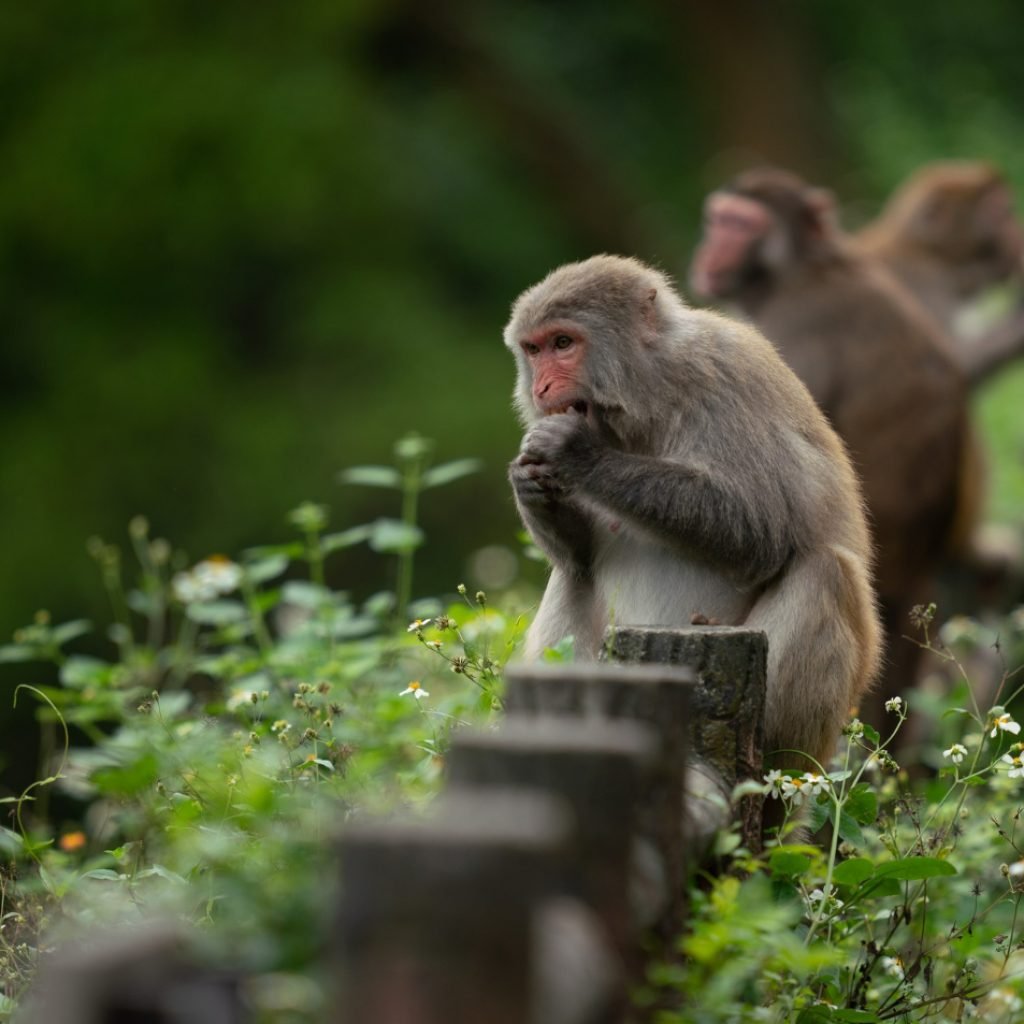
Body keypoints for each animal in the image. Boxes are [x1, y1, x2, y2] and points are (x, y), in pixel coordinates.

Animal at [503, 256, 880, 770]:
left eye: (563, 343)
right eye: (533, 349)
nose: (541, 386)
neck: (647, 394)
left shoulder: (723, 376)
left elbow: (759, 530)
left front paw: (578, 453)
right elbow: (577, 559)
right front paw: (528, 483)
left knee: (825, 570)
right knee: (573, 576)